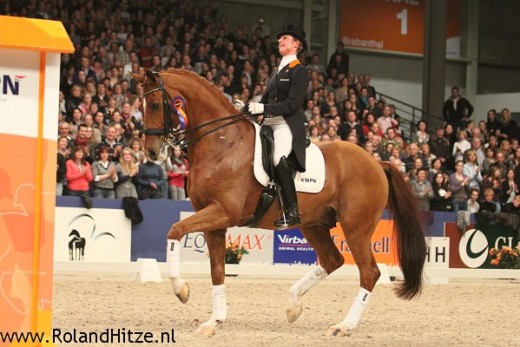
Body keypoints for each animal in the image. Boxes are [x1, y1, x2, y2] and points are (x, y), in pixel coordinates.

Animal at [131, 69, 426, 338]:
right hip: (314, 224)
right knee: (333, 260)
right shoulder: (213, 219)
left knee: (369, 272)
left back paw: (343, 326)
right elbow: (217, 271)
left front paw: (181, 290)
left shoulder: (222, 212)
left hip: (356, 228)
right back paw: (293, 305)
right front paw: (214, 320)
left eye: (155, 104)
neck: (222, 143)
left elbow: (175, 231)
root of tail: (376, 162)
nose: (151, 152)